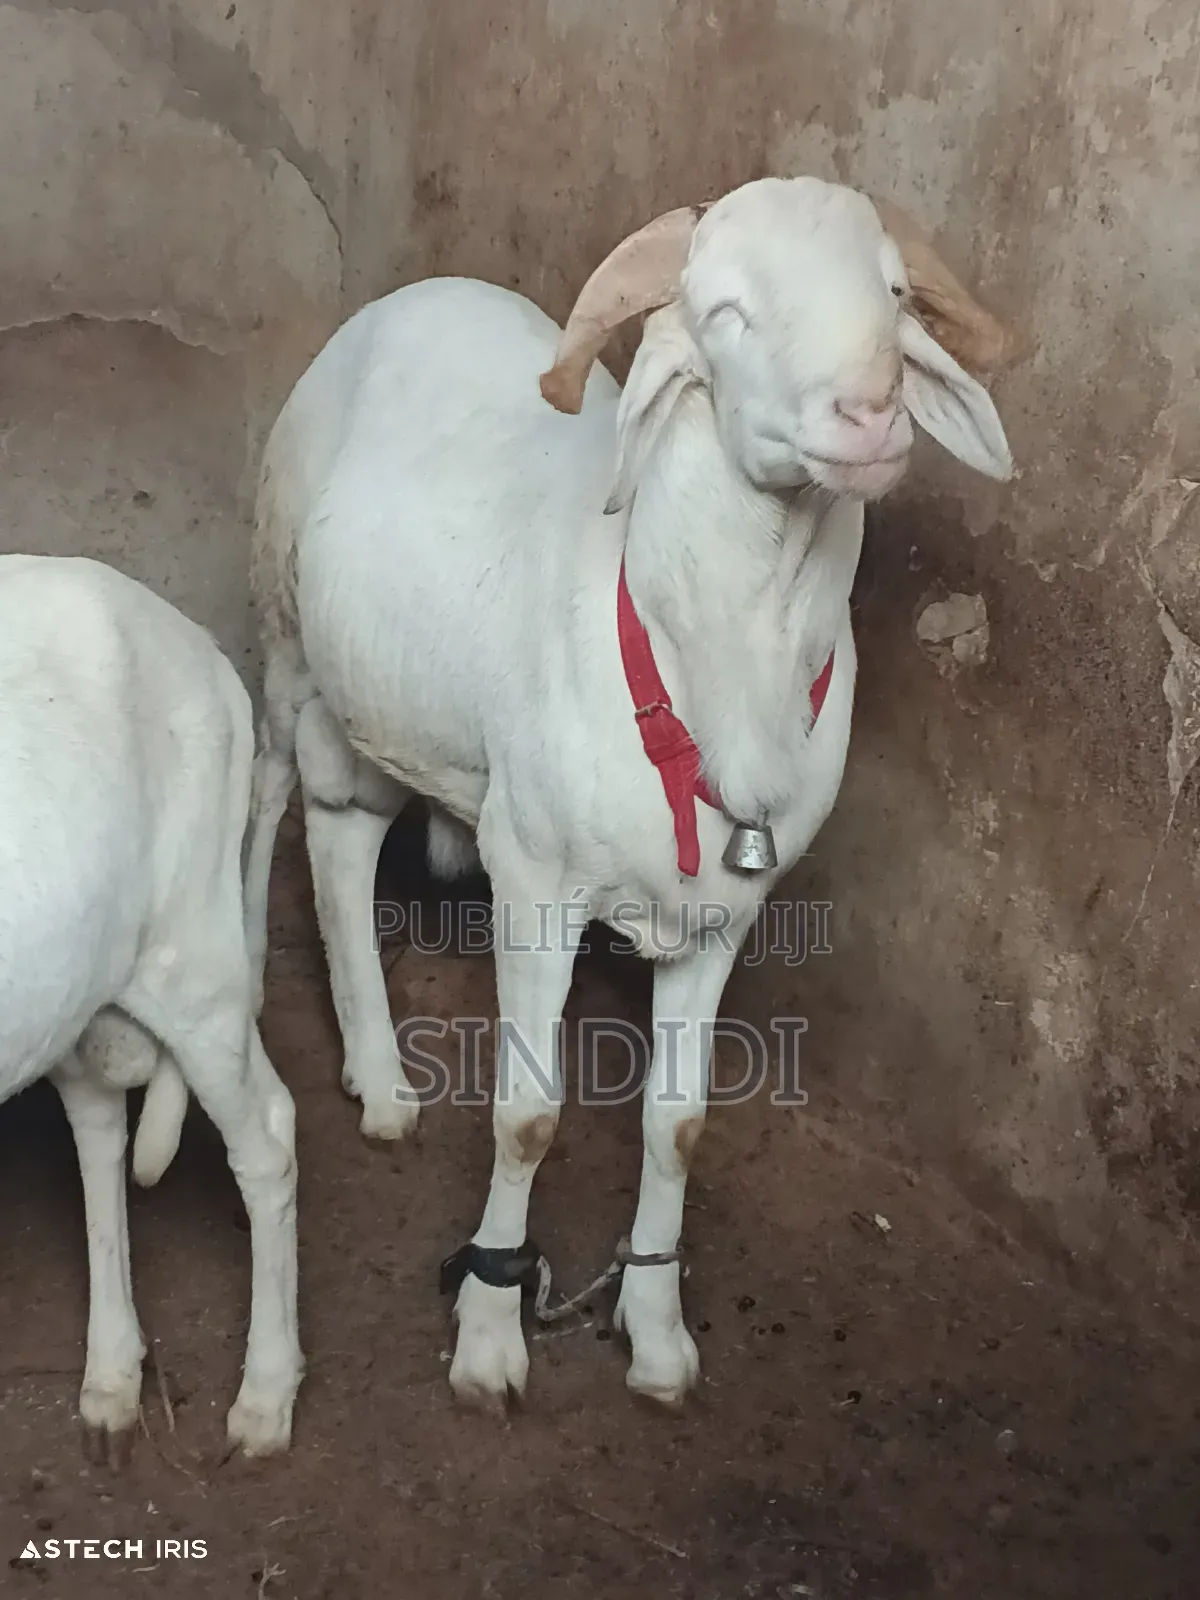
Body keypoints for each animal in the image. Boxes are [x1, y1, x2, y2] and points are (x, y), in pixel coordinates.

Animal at [0, 553, 302, 1460]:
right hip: (71, 986)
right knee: (101, 1131)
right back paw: (112, 1376)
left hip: (193, 963)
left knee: (267, 1136)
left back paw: (266, 1398)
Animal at [245, 175, 1016, 1412]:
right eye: (724, 310)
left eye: (895, 295)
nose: (869, 413)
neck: (702, 659)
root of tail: (417, 292)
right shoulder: (533, 879)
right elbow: (526, 1119)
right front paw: (491, 1329)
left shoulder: (725, 919)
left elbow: (679, 1126)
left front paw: (654, 1330)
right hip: (281, 632)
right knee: (277, 797)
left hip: (382, 692)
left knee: (343, 832)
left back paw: (380, 1078)